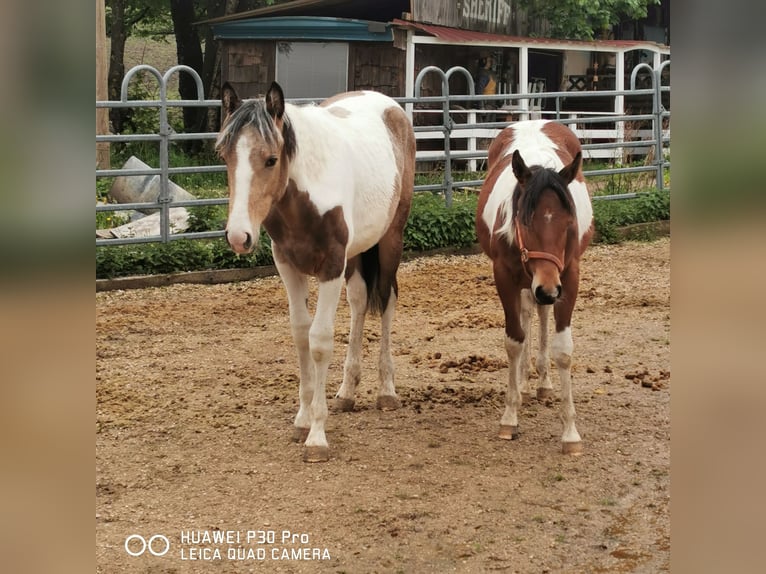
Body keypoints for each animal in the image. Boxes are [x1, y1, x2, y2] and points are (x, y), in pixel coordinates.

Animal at [216, 82, 416, 464]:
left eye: (271, 159)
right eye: (225, 156)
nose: (238, 236)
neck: (308, 194)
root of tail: (390, 106)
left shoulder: (331, 266)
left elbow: (320, 341)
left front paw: (317, 437)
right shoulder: (288, 266)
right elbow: (300, 335)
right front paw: (302, 419)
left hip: (389, 240)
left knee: (386, 300)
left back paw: (386, 391)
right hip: (356, 254)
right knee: (359, 301)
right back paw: (346, 392)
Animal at [476, 120, 596, 454]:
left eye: (569, 223)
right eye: (525, 221)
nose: (548, 288)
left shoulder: (568, 277)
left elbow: (563, 350)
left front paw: (570, 433)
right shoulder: (504, 277)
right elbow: (514, 340)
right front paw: (510, 417)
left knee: (541, 314)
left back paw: (542, 383)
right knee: (530, 313)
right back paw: (527, 385)